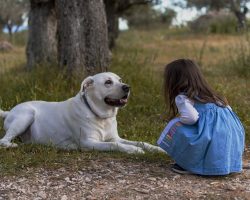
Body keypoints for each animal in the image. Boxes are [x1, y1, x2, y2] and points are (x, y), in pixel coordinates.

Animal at [0, 72, 163, 154]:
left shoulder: (114, 137)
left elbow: (141, 142)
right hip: (26, 115)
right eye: (108, 82)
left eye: (120, 79)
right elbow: (115, 145)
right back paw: (12, 145)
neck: (101, 116)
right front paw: (133, 149)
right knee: (3, 140)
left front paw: (156, 149)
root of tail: (9, 112)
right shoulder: (89, 142)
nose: (127, 87)